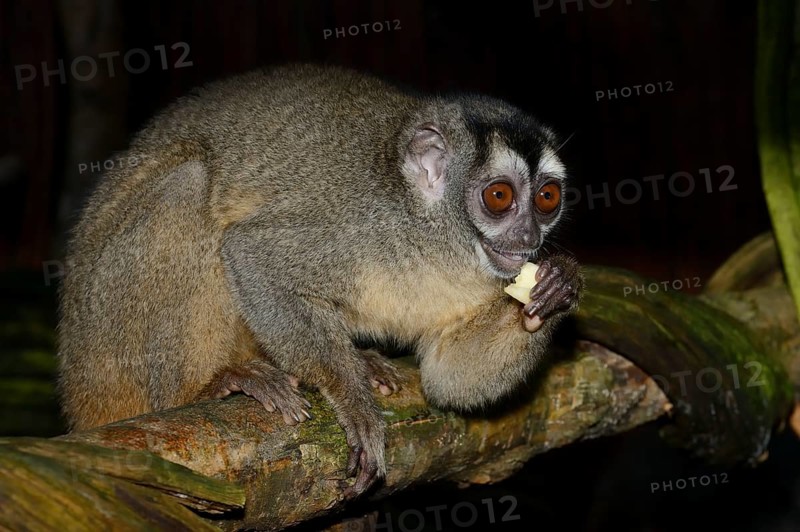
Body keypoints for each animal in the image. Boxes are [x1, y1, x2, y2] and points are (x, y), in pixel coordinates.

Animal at [56, 63, 583, 497]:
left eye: (547, 198)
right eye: (499, 197)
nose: (528, 236)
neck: (436, 241)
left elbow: (449, 381)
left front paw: (556, 287)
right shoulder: (358, 223)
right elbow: (251, 253)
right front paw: (352, 400)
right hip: (105, 342)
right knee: (187, 186)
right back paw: (207, 388)